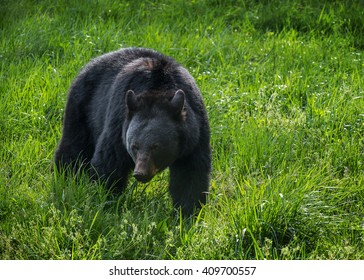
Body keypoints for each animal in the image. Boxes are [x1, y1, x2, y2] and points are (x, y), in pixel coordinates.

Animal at [55, 47, 212, 214]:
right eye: (134, 146)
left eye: (156, 146)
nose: (140, 173)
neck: (158, 90)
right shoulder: (119, 124)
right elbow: (109, 162)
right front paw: (106, 201)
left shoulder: (195, 135)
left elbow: (190, 174)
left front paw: (187, 212)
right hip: (82, 108)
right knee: (74, 147)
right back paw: (63, 177)